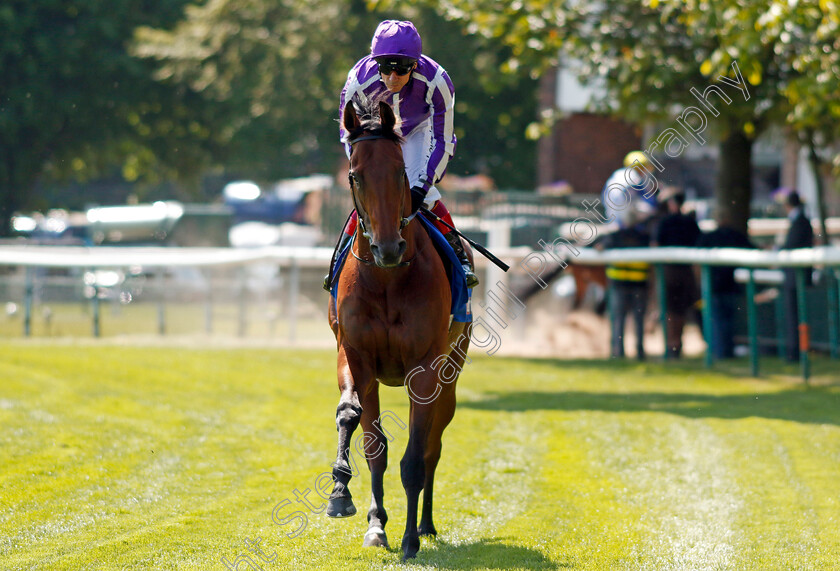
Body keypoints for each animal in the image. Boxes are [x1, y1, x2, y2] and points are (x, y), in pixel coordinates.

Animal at [328, 98, 472, 560]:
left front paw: (410, 539)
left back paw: (424, 524)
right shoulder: (356, 355)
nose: (389, 248)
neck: (387, 279)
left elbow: (415, 458)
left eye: (399, 173)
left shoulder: (424, 368)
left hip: (450, 374)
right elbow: (361, 430)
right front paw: (350, 502)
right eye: (355, 175)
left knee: (431, 449)